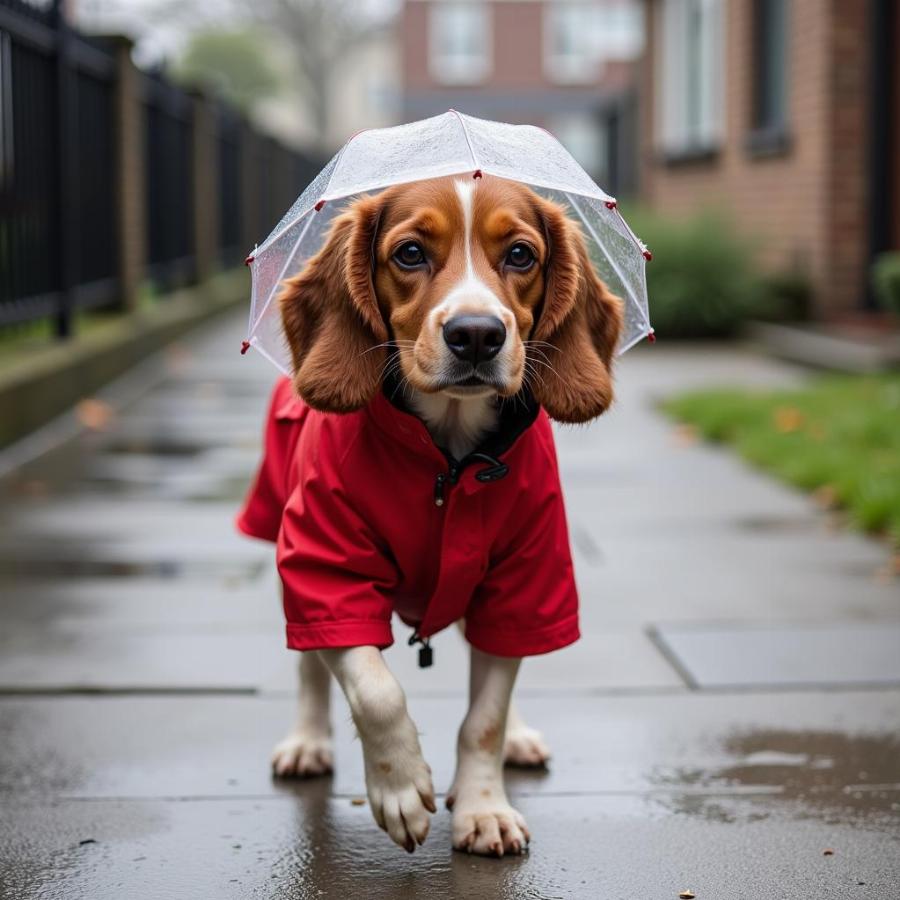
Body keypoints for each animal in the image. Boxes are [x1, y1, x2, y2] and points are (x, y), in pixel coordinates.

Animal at [236, 176, 624, 856]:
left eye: (520, 255)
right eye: (410, 253)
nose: (476, 334)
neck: (447, 455)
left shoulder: (524, 581)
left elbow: (485, 716)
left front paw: (483, 808)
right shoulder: (325, 573)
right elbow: (373, 686)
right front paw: (398, 786)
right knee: (310, 664)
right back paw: (308, 742)